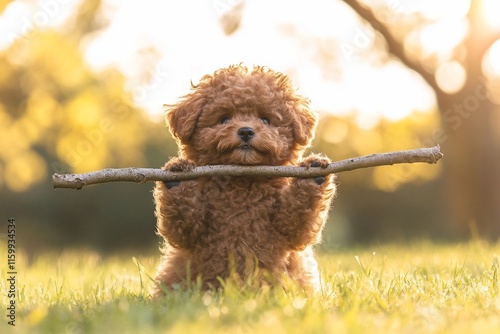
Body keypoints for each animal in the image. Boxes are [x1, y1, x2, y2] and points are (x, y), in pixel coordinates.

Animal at [153, 64, 336, 294]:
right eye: (224, 118)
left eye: (265, 119)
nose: (246, 131)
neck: (243, 182)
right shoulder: (193, 230)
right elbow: (185, 225)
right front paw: (178, 175)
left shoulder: (287, 225)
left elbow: (297, 220)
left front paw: (314, 172)